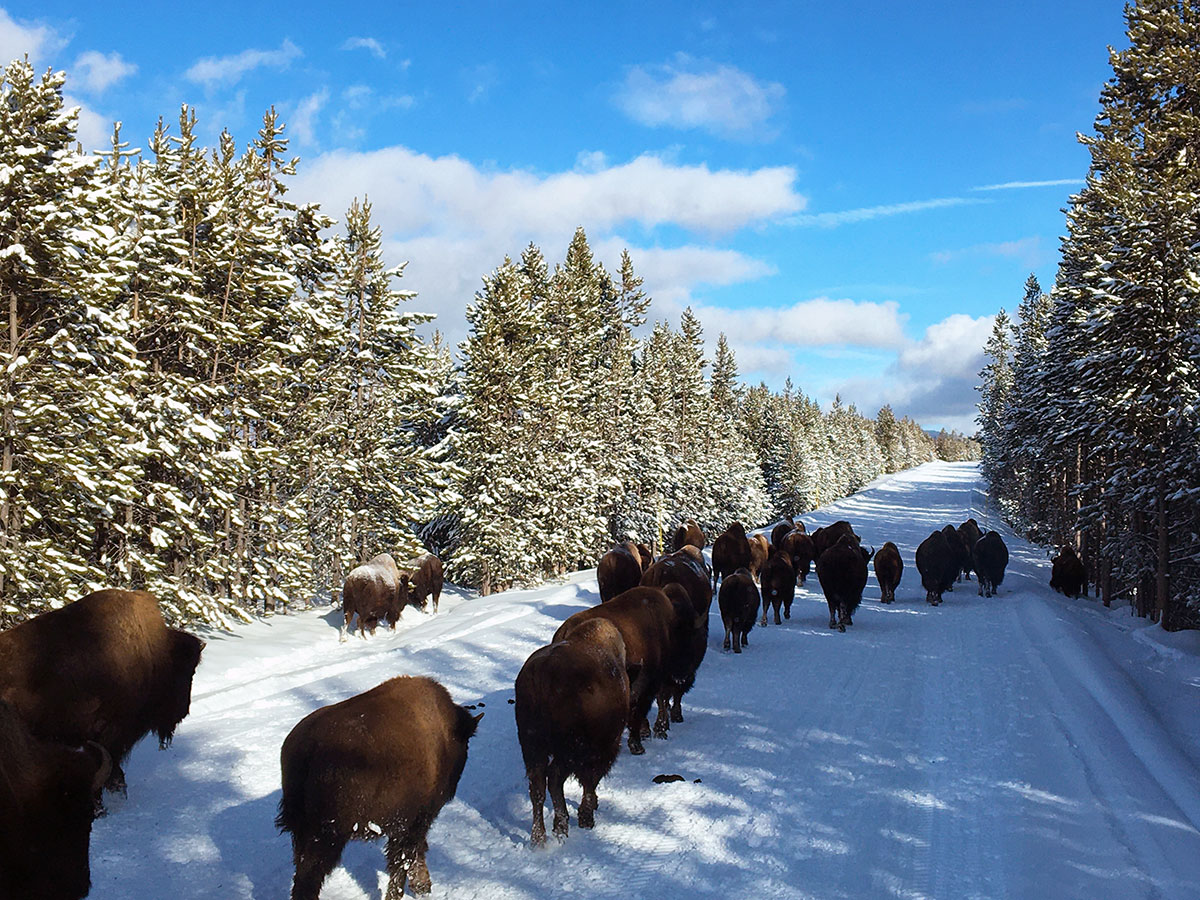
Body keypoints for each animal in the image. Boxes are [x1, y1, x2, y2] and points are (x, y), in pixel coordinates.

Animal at [277, 676, 481, 900]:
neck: (446, 734)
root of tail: (306, 748)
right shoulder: (416, 821)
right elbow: (403, 861)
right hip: (326, 837)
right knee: (308, 880)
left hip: (301, 831)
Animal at [515, 619, 629, 845]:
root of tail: (541, 675)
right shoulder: (603, 749)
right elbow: (590, 780)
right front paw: (587, 815)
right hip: (568, 751)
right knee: (554, 778)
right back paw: (562, 827)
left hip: (533, 747)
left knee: (537, 786)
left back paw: (539, 839)